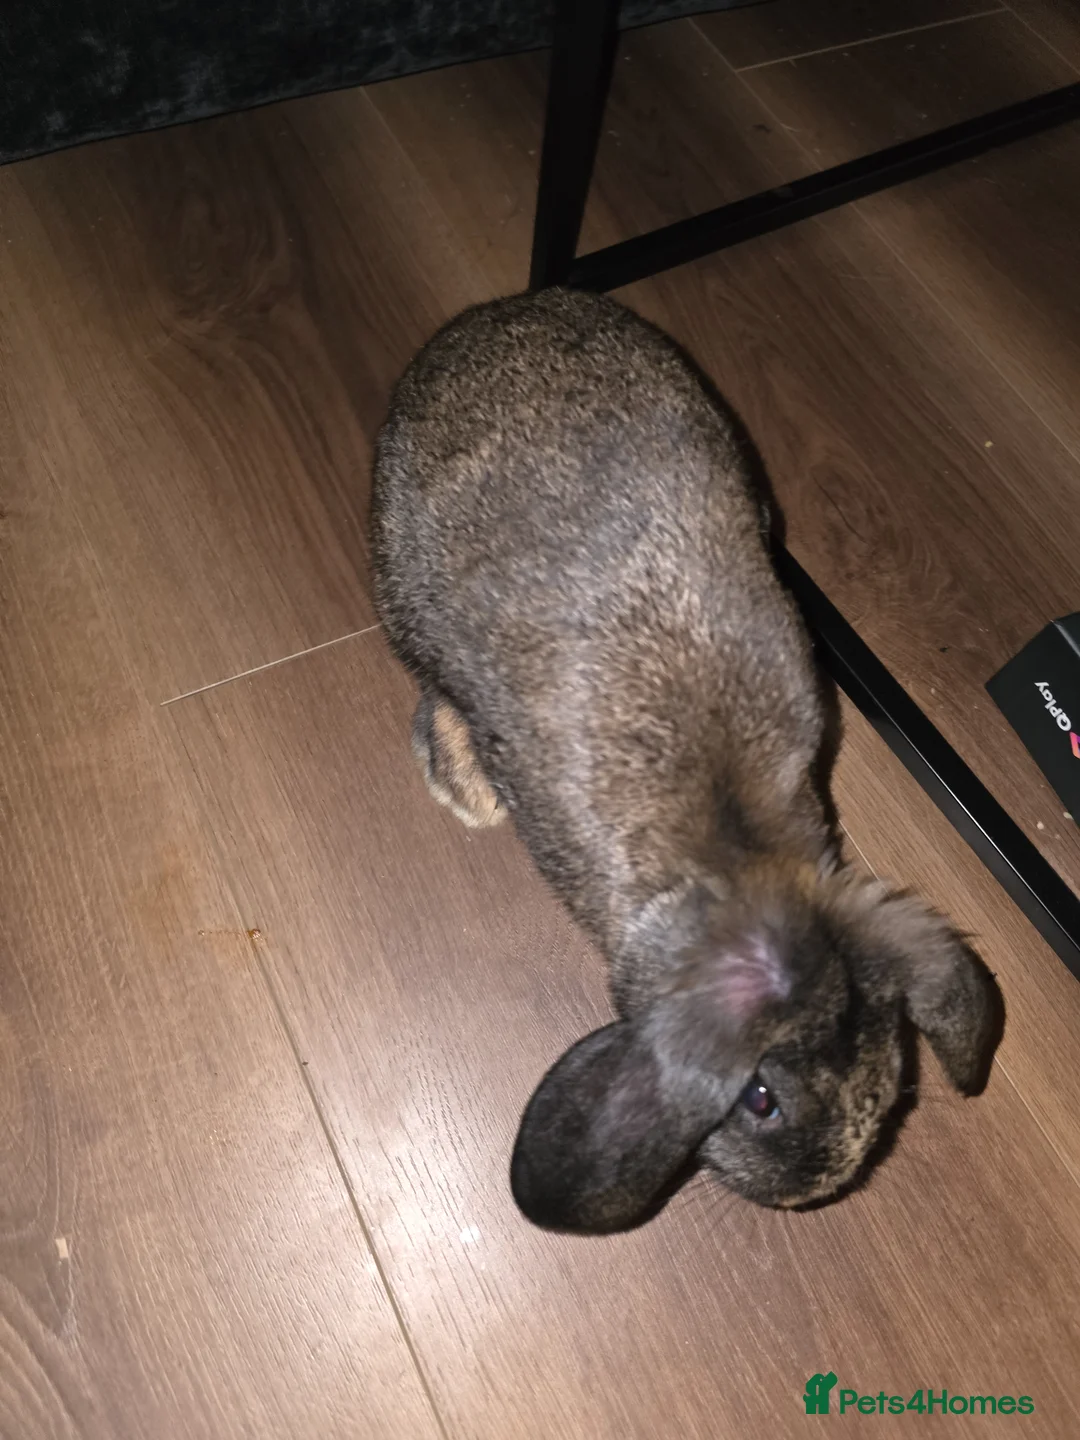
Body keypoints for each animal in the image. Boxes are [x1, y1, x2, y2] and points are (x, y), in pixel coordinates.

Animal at [369, 286, 999, 1234]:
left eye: (890, 1073)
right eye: (761, 1099)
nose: (810, 1193)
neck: (737, 855)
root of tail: (503, 308)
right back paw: (463, 784)